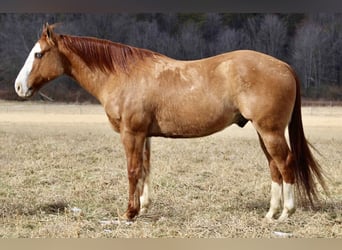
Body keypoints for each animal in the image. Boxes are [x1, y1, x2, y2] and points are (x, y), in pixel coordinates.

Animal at [14, 23, 328, 223]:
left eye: (38, 53)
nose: (19, 87)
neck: (123, 75)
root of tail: (285, 66)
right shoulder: (144, 135)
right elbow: (145, 170)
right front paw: (142, 208)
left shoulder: (131, 133)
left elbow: (133, 171)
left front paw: (128, 213)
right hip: (264, 133)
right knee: (274, 166)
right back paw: (270, 214)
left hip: (270, 131)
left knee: (285, 164)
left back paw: (286, 214)